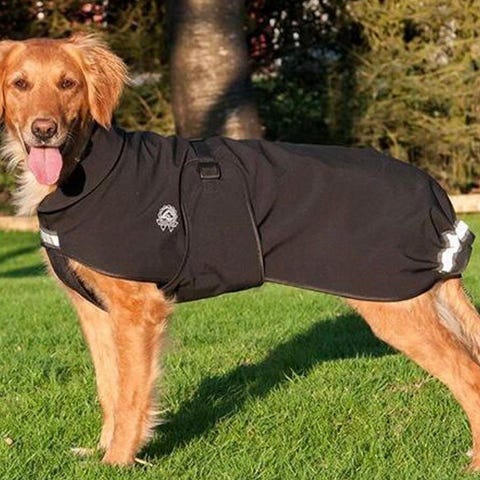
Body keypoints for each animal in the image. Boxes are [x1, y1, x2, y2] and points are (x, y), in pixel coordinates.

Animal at [2, 34, 480, 470]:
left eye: (68, 83)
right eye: (20, 84)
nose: (43, 130)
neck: (87, 166)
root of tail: (433, 191)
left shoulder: (139, 310)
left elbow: (134, 394)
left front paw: (119, 461)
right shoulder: (96, 311)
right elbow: (109, 388)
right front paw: (101, 451)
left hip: (394, 307)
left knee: (469, 377)